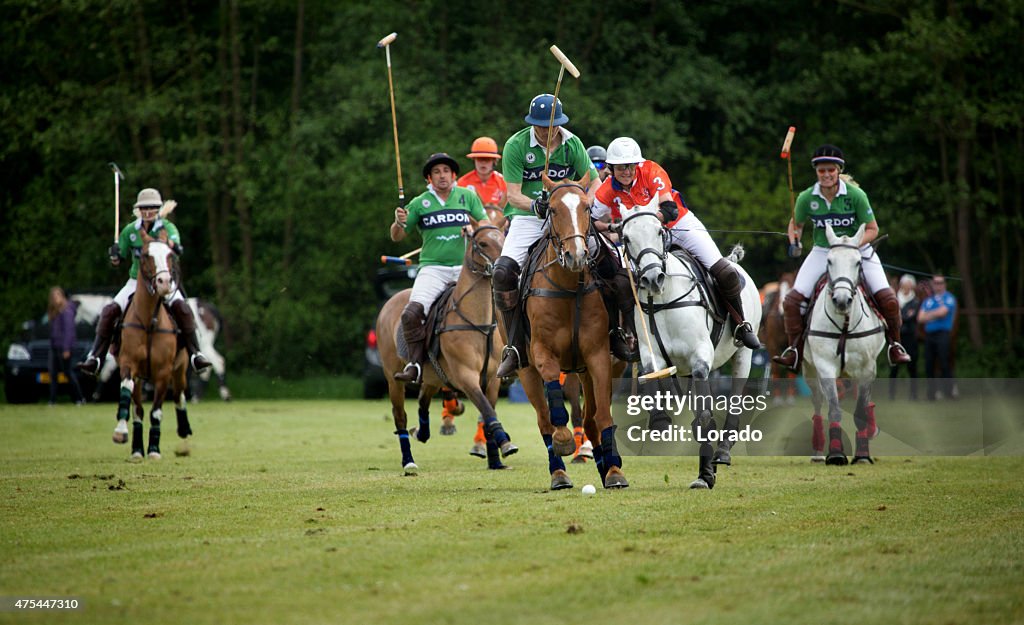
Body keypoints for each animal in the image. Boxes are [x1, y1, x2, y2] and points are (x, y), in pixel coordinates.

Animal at [112, 228, 192, 456]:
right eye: (145, 255)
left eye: (170, 255)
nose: (164, 282)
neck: (149, 321)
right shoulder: (128, 363)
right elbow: (128, 396)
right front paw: (121, 433)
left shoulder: (164, 371)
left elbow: (156, 411)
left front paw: (155, 449)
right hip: (141, 377)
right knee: (137, 408)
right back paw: (137, 448)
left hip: (180, 367)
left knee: (179, 395)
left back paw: (184, 431)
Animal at [378, 223, 520, 471]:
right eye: (482, 243)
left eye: (503, 238)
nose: (504, 268)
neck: (479, 323)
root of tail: (391, 301)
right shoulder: (466, 376)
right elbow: (486, 409)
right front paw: (505, 443)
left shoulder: (492, 379)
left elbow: (487, 412)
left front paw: (495, 460)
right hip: (392, 377)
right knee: (400, 416)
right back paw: (408, 461)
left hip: (433, 376)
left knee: (423, 400)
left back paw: (422, 432)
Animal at [509, 173, 622, 489]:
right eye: (553, 209)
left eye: (587, 207)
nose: (577, 256)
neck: (569, 288)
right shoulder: (541, 351)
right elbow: (554, 411)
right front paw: (564, 441)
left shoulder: (597, 355)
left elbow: (603, 415)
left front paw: (614, 471)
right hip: (525, 369)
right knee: (543, 419)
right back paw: (558, 474)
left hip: (584, 369)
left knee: (592, 418)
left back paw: (602, 465)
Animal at [614, 198, 761, 487]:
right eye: (626, 238)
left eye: (659, 231)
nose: (652, 279)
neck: (663, 299)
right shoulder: (652, 354)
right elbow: (652, 380)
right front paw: (660, 420)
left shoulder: (700, 356)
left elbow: (704, 416)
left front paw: (705, 476)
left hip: (743, 355)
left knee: (735, 398)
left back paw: (723, 452)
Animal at [802, 222, 884, 463]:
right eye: (829, 261)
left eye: (858, 262)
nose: (841, 301)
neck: (845, 325)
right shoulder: (825, 365)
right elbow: (834, 409)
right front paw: (836, 453)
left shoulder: (867, 368)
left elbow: (860, 412)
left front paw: (863, 455)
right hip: (809, 370)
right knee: (818, 402)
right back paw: (818, 452)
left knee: (866, 402)